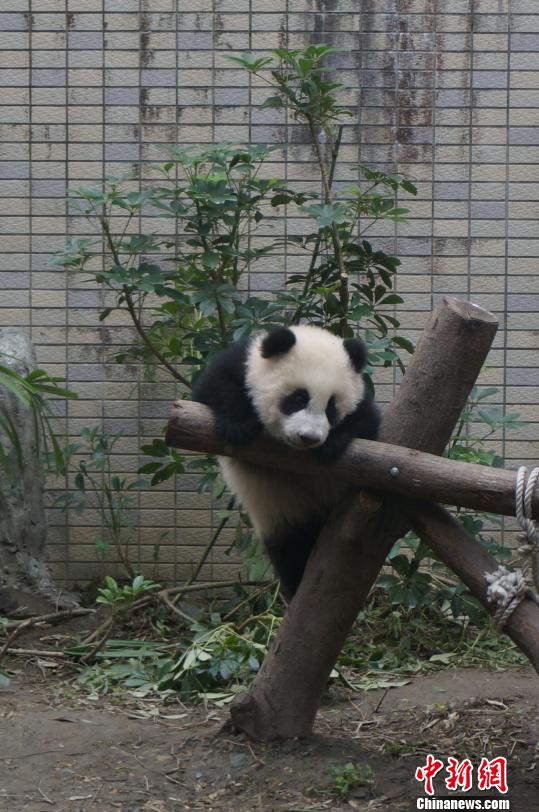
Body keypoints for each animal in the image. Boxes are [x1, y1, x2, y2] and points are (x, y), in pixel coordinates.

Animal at [193, 324, 380, 596]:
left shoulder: (362, 403)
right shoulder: (242, 364)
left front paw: (334, 442)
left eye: (331, 407)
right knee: (289, 551)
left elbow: (367, 422)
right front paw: (239, 425)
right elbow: (212, 387)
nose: (309, 437)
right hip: (279, 512)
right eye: (298, 399)